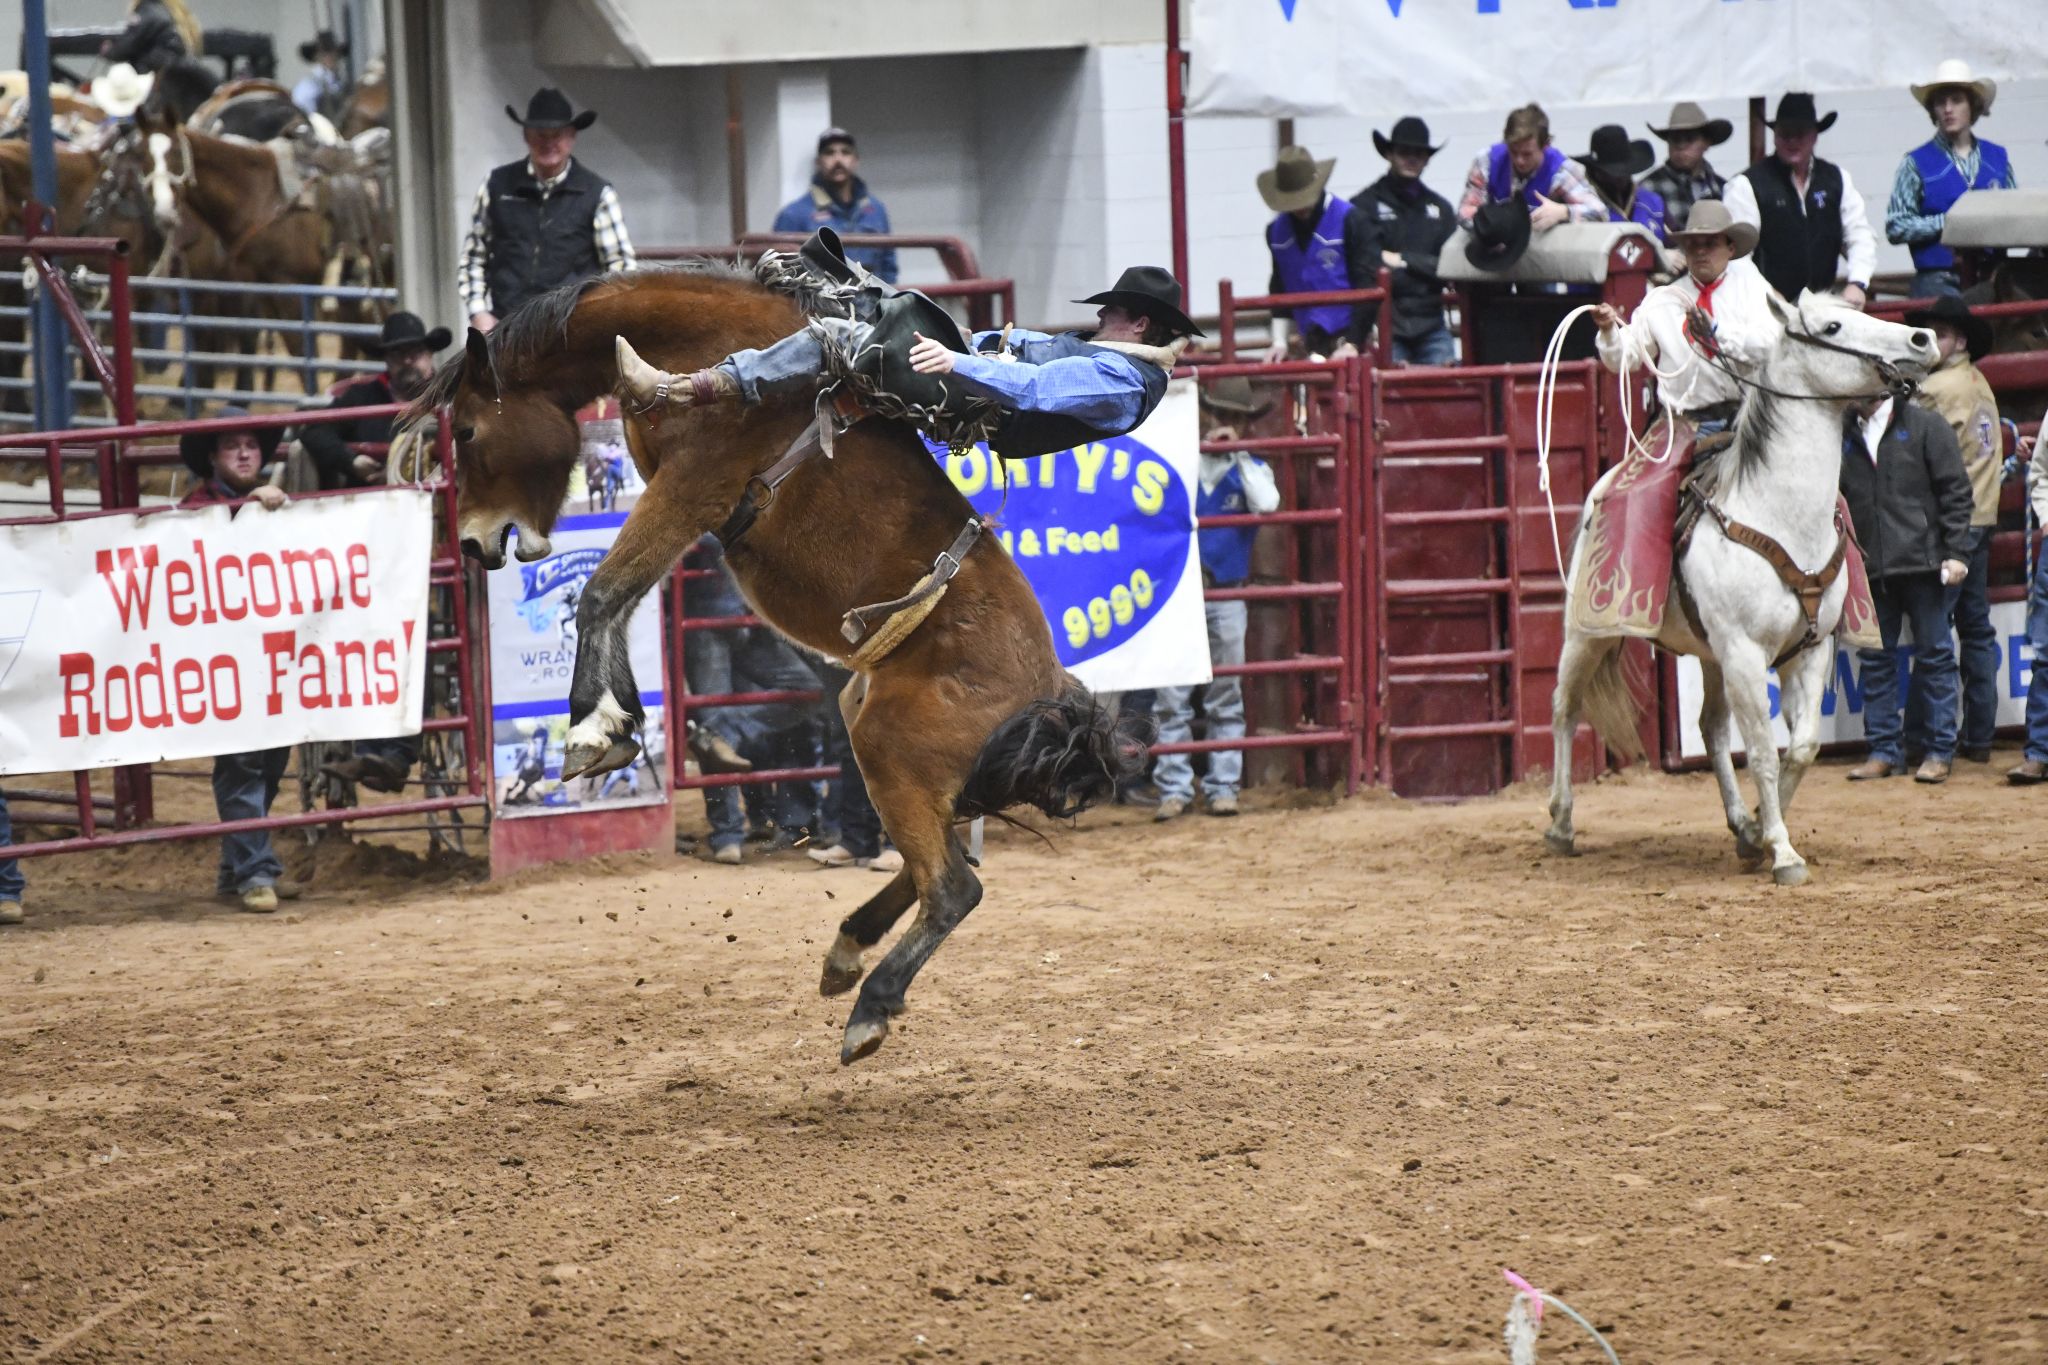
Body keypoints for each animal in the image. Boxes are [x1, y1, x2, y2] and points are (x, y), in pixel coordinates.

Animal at [407, 266, 1146, 1072]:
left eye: (467, 431)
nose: (473, 544)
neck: (695, 342)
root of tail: (1048, 701)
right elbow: (630, 598)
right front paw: (624, 722)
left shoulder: (691, 486)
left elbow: (604, 588)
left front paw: (590, 731)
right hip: (894, 744)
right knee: (935, 867)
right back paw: (846, 951)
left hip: (891, 745)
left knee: (954, 887)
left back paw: (870, 1008)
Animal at [1548, 292, 1933, 888]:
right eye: (1832, 326)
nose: (1922, 339)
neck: (1778, 514)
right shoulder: (1748, 655)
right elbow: (1762, 753)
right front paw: (1784, 853)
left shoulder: (1808, 651)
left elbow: (1802, 747)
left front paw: (1757, 833)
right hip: (1588, 633)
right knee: (1565, 708)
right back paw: (1562, 824)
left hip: (1710, 654)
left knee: (1710, 728)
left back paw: (1736, 822)